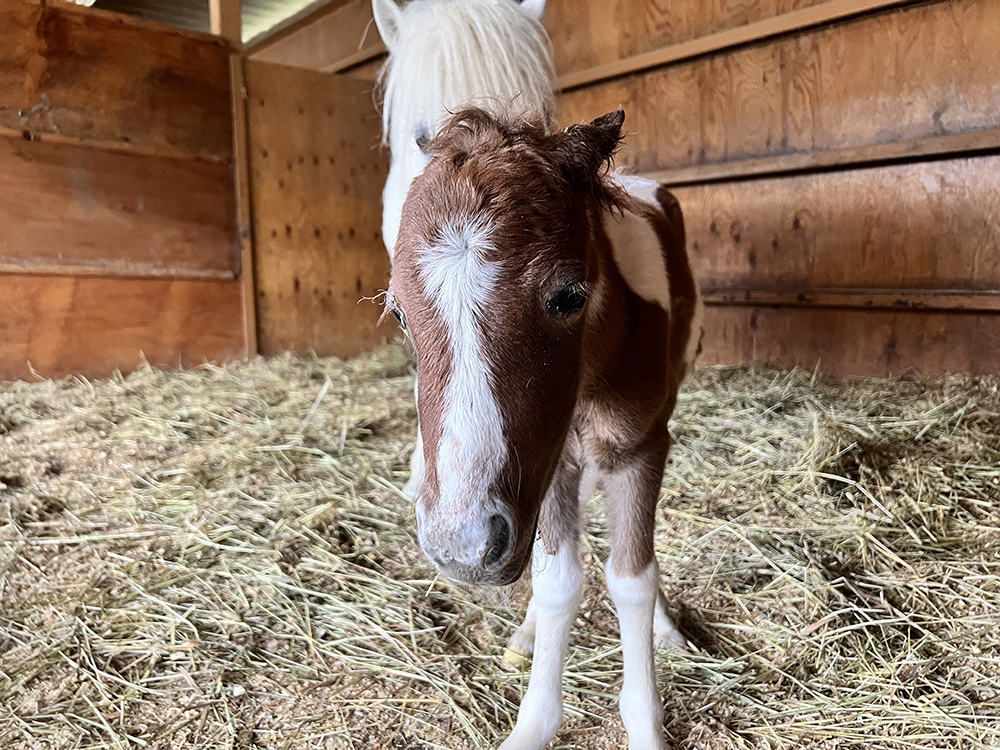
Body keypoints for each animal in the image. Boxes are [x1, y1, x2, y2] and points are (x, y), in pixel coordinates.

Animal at [386, 108, 700, 750]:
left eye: (568, 296)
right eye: (400, 312)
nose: (461, 549)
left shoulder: (642, 447)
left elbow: (632, 577)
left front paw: (645, 720)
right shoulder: (549, 463)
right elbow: (558, 581)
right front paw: (534, 722)